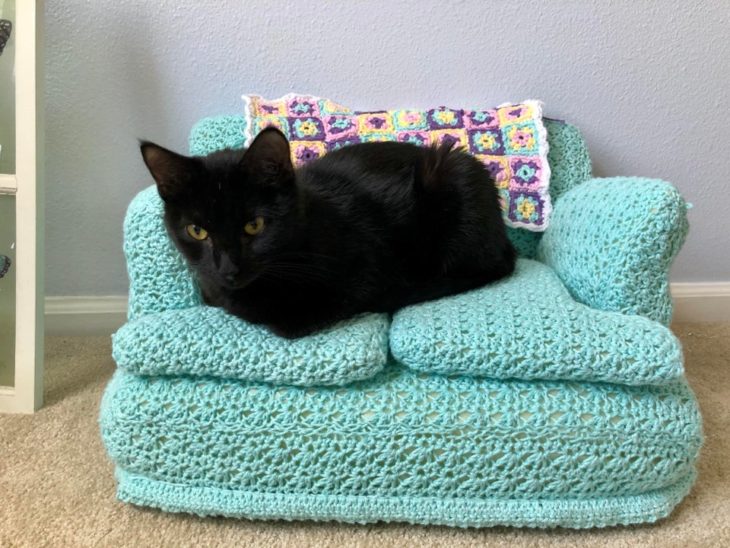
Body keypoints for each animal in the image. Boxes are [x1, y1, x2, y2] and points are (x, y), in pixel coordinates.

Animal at [139, 127, 516, 338]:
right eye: (197, 231)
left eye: (254, 225)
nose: (228, 269)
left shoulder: (367, 275)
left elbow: (287, 320)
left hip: (454, 174)